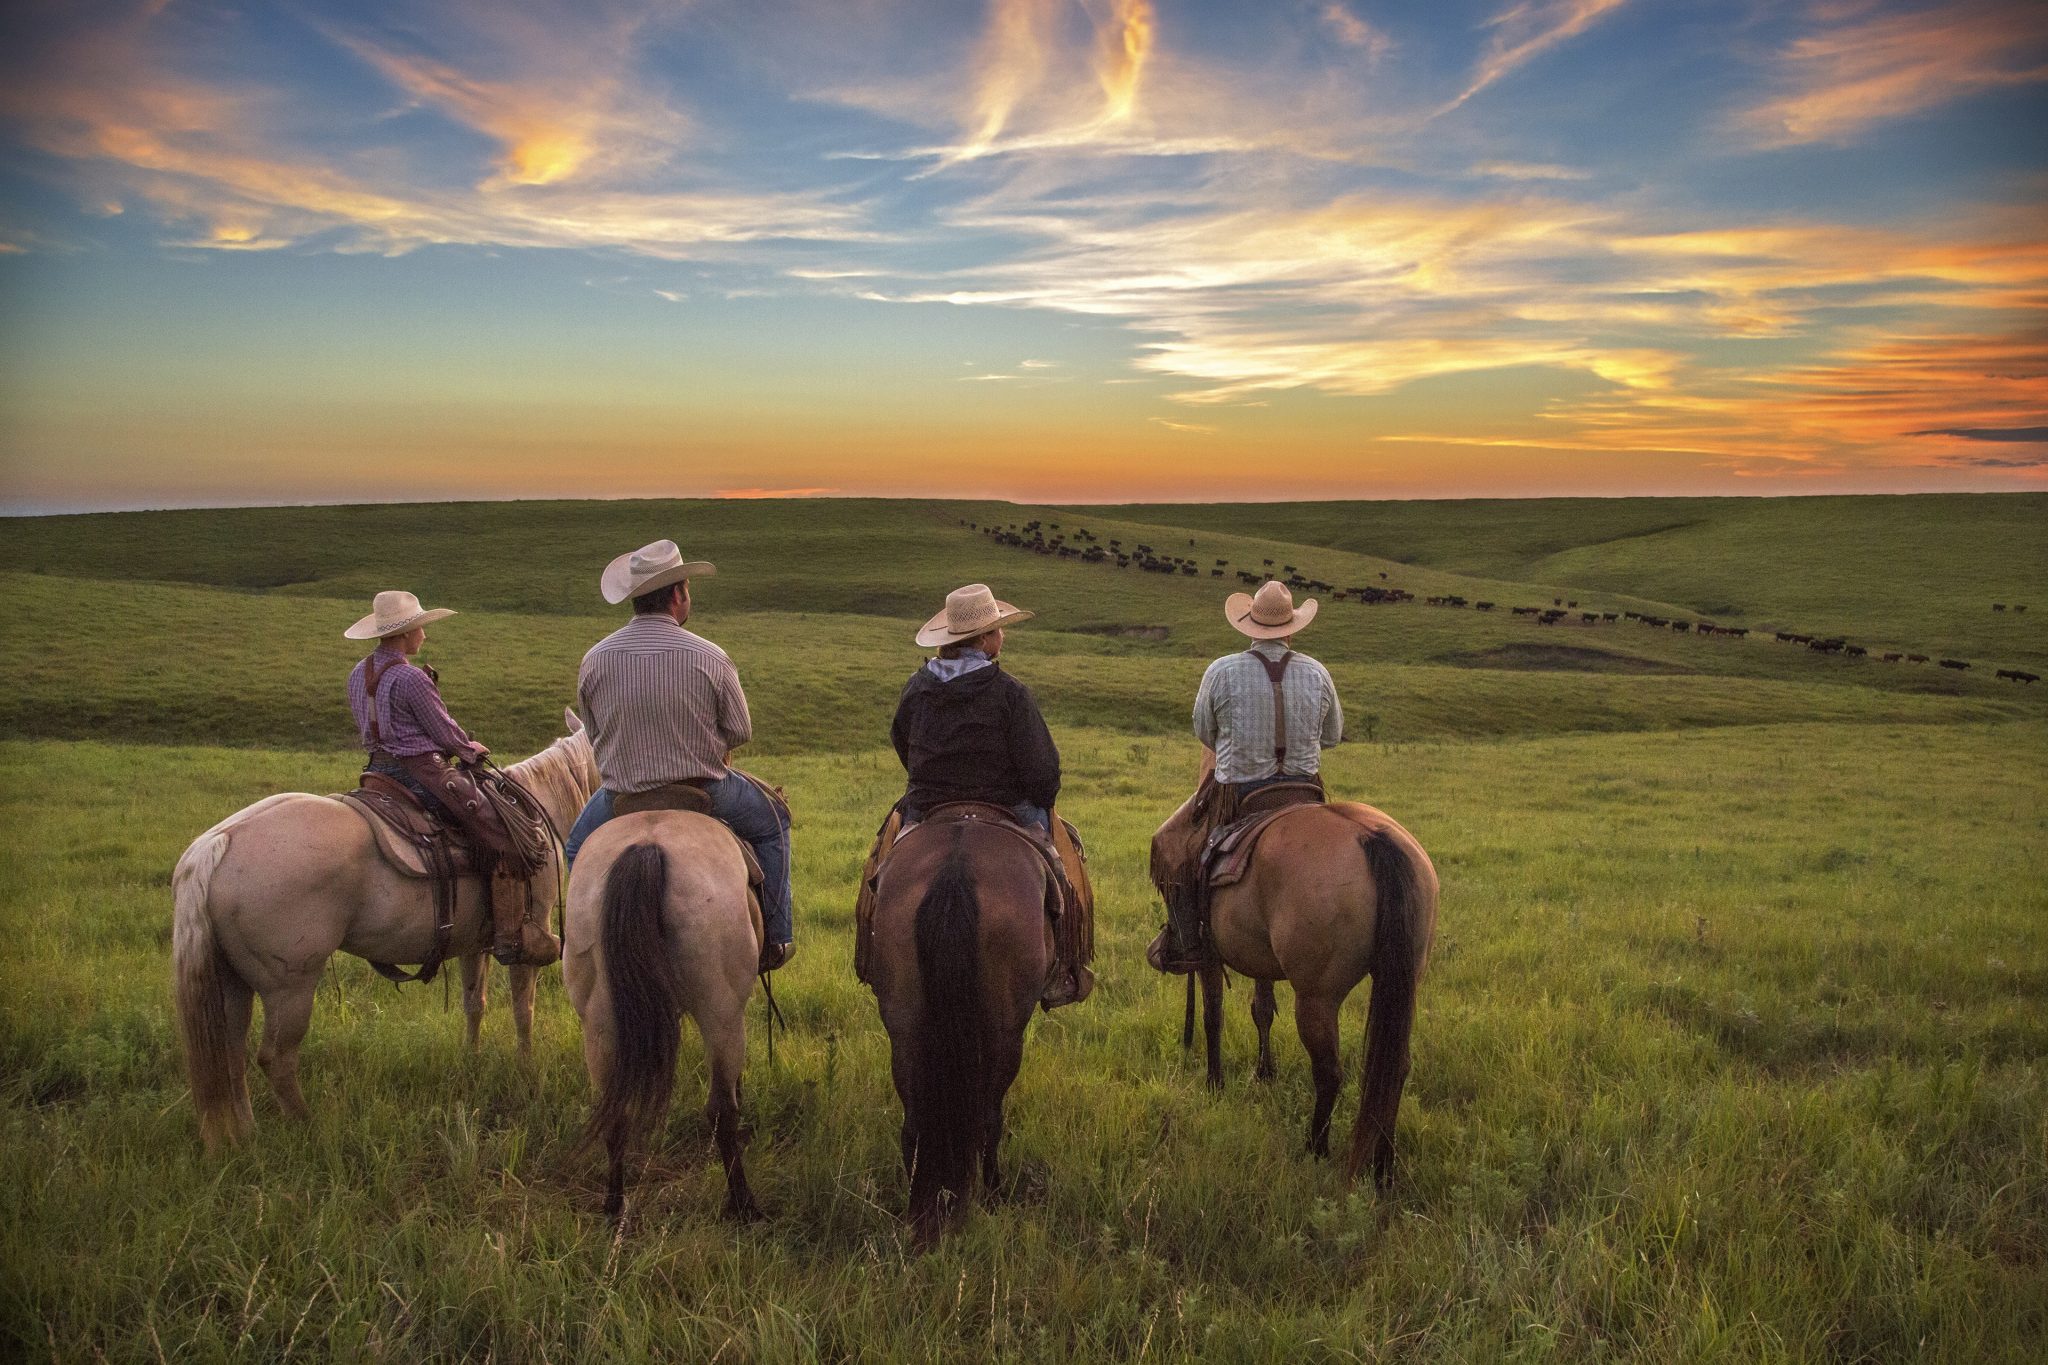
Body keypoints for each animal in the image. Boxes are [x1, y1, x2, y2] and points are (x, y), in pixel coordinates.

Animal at [172, 716, 598, 1154]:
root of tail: (217, 843)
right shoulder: (529, 935)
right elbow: (522, 1009)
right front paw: (526, 1069)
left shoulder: (474, 944)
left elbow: (473, 1005)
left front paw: (472, 1060)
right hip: (289, 988)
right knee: (275, 1057)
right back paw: (307, 1124)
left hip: (232, 982)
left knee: (232, 1051)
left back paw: (245, 1133)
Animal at [868, 810, 1056, 1252]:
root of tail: (955, 868)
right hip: (1006, 1035)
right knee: (988, 1119)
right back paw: (994, 1195)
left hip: (905, 1028)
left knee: (914, 1121)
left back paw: (917, 1204)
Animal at [1163, 789, 1433, 1186]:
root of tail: (1372, 838)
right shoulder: (1260, 958)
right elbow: (1261, 1011)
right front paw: (1264, 1073)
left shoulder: (1209, 954)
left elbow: (1213, 1016)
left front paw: (1215, 1084)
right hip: (1404, 983)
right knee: (1394, 1066)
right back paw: (1383, 1165)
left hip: (1315, 998)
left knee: (1329, 1071)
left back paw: (1316, 1149)